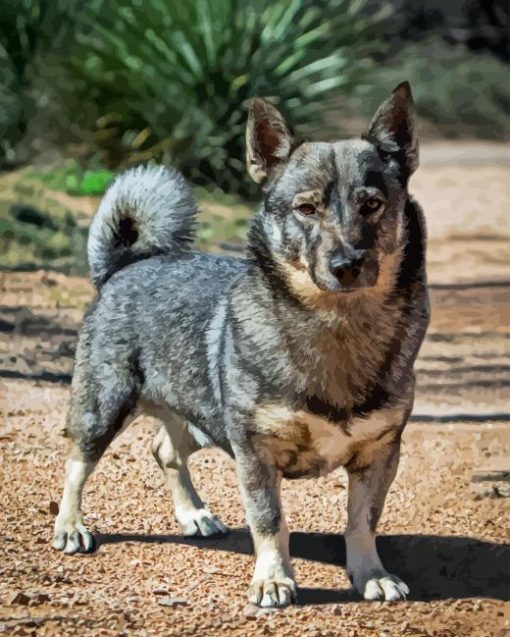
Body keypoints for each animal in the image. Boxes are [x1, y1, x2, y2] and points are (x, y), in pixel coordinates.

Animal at [52, 82, 426, 608]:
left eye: (371, 204)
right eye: (306, 209)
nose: (346, 265)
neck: (337, 326)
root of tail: (125, 265)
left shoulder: (380, 455)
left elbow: (362, 522)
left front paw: (371, 573)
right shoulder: (254, 451)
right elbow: (270, 521)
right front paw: (273, 579)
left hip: (201, 417)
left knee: (164, 450)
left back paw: (193, 514)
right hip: (105, 408)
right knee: (76, 464)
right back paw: (70, 526)